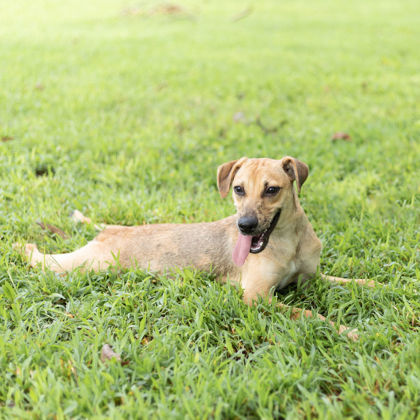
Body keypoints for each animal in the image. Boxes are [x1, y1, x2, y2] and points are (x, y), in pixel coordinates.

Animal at [16, 157, 372, 338]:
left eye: (271, 190)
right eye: (238, 189)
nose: (244, 226)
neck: (288, 241)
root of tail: (113, 229)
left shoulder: (312, 279)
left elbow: (353, 282)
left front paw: (377, 286)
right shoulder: (256, 297)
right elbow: (310, 313)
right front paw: (346, 329)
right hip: (89, 264)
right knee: (43, 260)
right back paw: (23, 245)